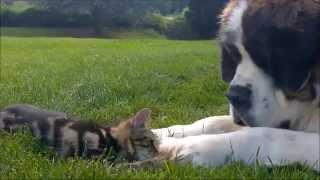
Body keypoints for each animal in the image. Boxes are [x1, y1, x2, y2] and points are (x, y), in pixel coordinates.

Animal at [150, 0, 320, 172]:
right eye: (235, 56)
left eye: (267, 59)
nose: (234, 96)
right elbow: (213, 121)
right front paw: (159, 133)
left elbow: (265, 134)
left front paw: (188, 146)